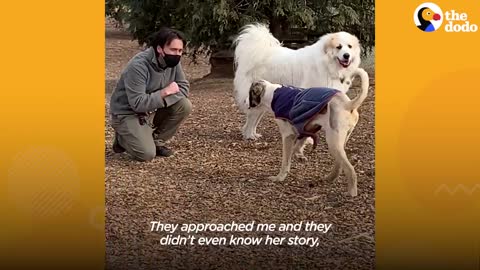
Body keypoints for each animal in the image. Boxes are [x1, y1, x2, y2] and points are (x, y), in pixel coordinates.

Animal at [232, 23, 360, 141]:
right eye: (339, 47)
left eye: (349, 46)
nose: (346, 55)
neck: (327, 63)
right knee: (251, 119)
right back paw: (249, 136)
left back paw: (253, 134)